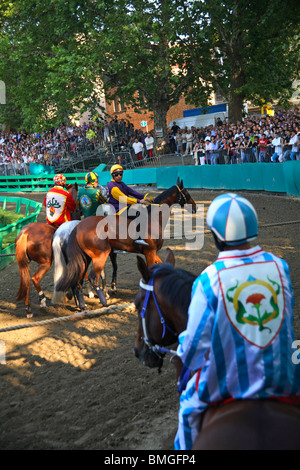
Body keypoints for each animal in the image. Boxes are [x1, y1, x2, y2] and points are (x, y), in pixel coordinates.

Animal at [55, 177, 198, 312]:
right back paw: (103, 301)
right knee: (92, 277)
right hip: (100, 256)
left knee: (78, 279)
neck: (152, 219)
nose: (195, 207)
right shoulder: (150, 253)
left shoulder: (152, 252)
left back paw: (82, 304)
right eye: (186, 192)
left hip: (85, 258)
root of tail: (78, 227)